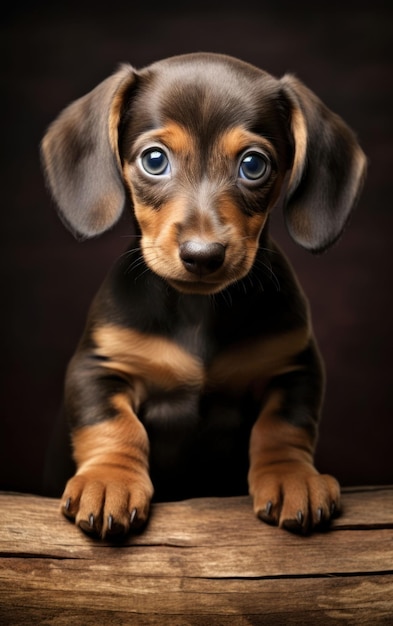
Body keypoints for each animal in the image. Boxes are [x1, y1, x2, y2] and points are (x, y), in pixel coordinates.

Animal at [41, 52, 366, 536]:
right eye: (154, 159)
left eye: (254, 165)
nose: (202, 255)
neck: (198, 309)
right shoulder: (98, 365)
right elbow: (112, 422)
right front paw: (109, 480)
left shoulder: (295, 366)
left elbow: (283, 426)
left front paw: (292, 476)